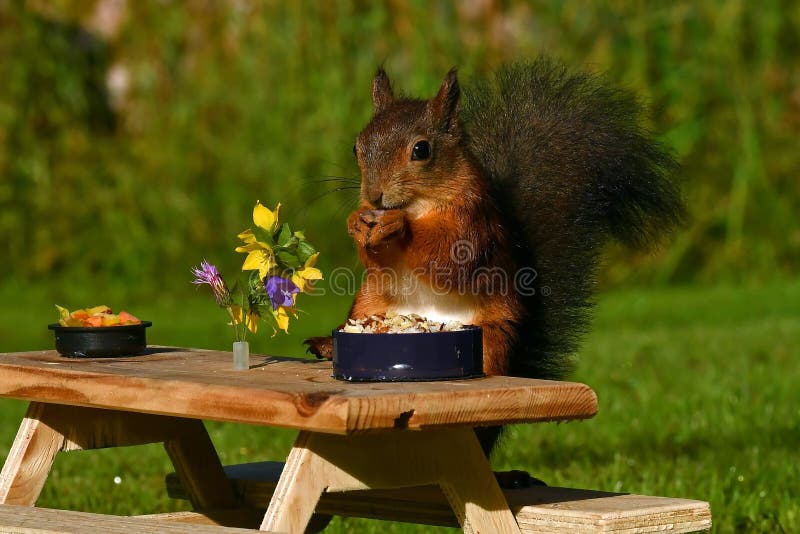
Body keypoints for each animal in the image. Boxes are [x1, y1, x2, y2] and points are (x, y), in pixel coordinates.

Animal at [304, 60, 684, 456]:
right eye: (356, 147)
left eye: (421, 150)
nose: (375, 196)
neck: (418, 205)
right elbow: (378, 261)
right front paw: (357, 222)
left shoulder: (473, 223)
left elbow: (449, 259)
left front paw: (398, 225)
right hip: (369, 300)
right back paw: (326, 346)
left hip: (492, 338)